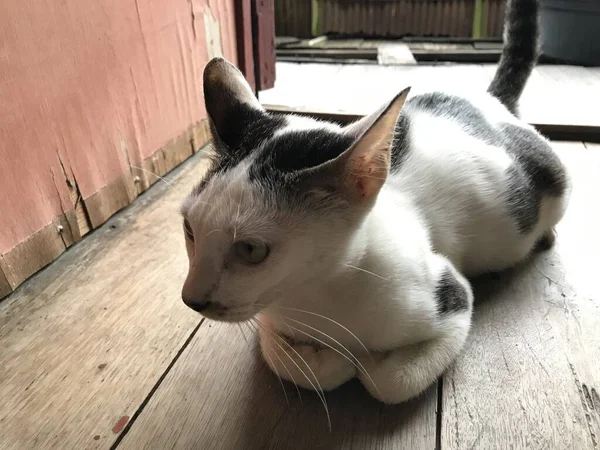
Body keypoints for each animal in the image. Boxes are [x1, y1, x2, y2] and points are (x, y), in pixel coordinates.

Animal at [179, 0, 572, 404]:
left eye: (252, 250)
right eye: (189, 229)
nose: (190, 300)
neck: (315, 296)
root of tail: (488, 100)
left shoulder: (453, 298)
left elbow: (390, 383)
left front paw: (365, 363)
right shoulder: (270, 317)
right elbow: (287, 359)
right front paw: (330, 360)